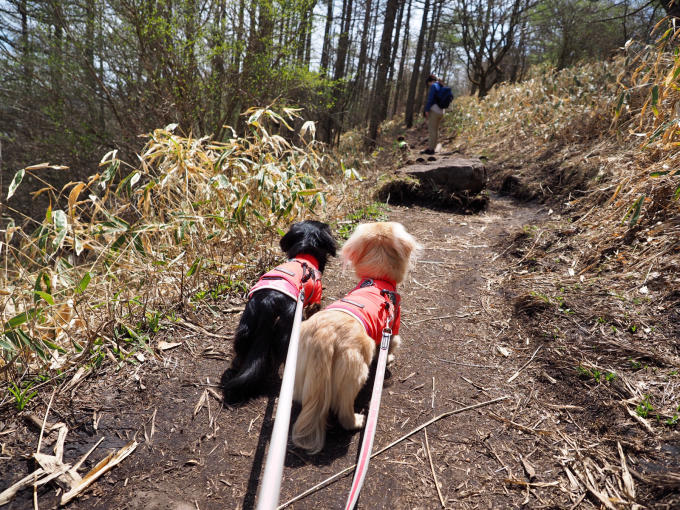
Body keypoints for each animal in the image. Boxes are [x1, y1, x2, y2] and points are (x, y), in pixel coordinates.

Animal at [292, 221, 420, 452]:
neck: (377, 281)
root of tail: (325, 337)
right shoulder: (392, 328)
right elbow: (390, 346)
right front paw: (388, 358)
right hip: (355, 374)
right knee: (344, 411)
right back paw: (357, 421)